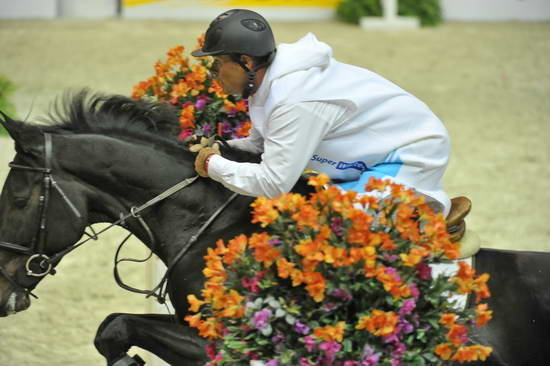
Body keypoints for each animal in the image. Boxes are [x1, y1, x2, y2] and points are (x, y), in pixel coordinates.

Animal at [0, 89, 548, 366]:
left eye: (20, 199)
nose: (4, 293)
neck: (208, 225)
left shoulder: (237, 344)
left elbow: (116, 326)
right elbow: (113, 326)